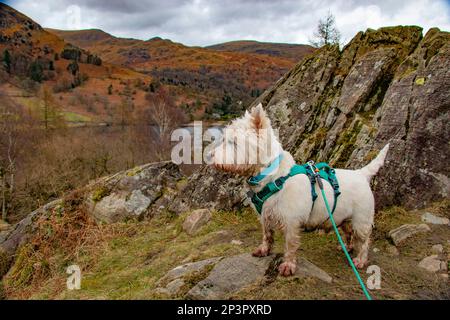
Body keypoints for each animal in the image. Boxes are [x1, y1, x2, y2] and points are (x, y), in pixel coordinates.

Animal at [209, 104, 388, 276]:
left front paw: (287, 266)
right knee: (349, 232)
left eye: (234, 142)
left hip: (361, 219)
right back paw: (347, 247)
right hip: (342, 218)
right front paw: (263, 250)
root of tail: (361, 174)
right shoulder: (265, 216)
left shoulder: (291, 221)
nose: (210, 155)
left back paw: (360, 260)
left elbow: (290, 245)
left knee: (364, 241)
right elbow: (267, 235)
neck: (272, 177)